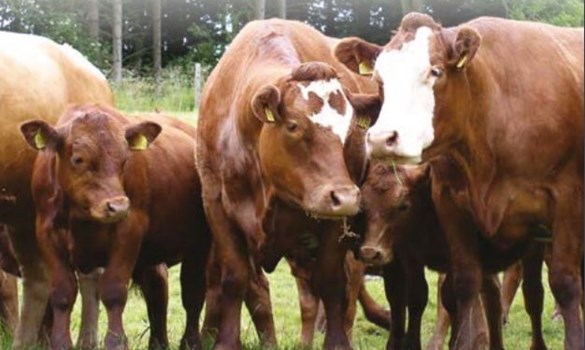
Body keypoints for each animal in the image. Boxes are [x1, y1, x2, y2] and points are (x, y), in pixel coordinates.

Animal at [22, 104, 210, 350]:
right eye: (78, 159)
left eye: (124, 158)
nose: (118, 206)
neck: (81, 215)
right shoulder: (47, 235)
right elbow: (63, 293)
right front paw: (61, 342)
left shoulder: (128, 231)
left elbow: (113, 291)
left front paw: (116, 342)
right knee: (157, 291)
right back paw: (158, 343)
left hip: (198, 247)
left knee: (193, 294)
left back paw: (191, 341)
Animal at [196, 18, 378, 350]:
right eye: (294, 126)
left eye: (350, 131)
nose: (345, 196)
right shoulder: (217, 207)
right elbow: (235, 278)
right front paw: (226, 340)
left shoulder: (334, 220)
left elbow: (331, 282)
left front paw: (336, 342)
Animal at [336, 12, 580, 348]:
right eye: (380, 80)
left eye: (435, 71)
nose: (383, 139)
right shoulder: (451, 204)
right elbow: (464, 284)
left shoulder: (563, 204)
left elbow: (564, 284)